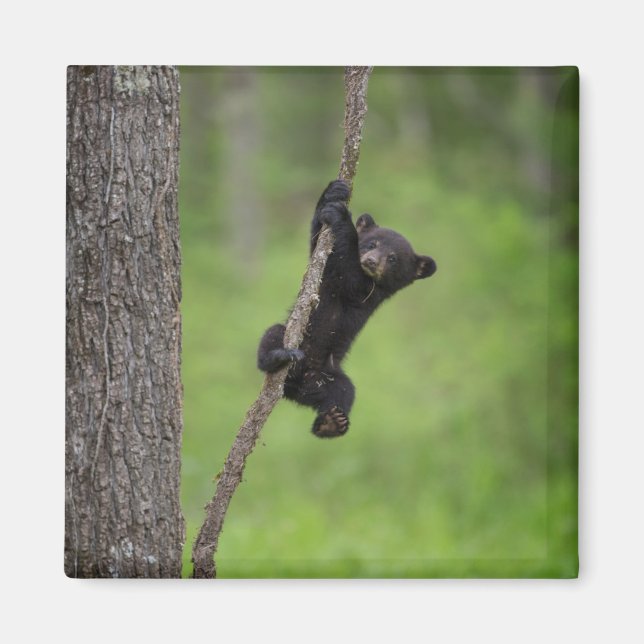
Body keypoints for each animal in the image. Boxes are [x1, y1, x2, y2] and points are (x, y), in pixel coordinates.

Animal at [257, 180, 437, 438]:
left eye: (393, 258)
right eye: (372, 243)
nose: (371, 261)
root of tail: (297, 387)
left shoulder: (369, 292)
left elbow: (350, 277)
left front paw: (343, 217)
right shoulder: (324, 270)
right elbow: (317, 242)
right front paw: (333, 193)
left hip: (330, 374)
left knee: (344, 392)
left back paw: (331, 422)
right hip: (292, 340)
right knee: (273, 335)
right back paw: (279, 355)